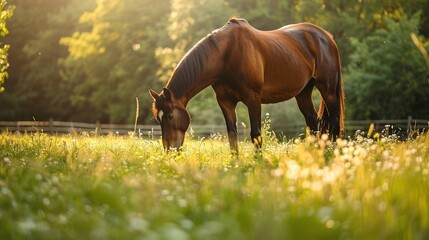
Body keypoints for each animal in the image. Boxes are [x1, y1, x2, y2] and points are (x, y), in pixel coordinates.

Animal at [149, 17, 342, 152]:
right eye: (157, 119)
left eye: (170, 116)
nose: (169, 150)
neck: (227, 55)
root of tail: (326, 36)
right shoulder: (225, 101)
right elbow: (232, 134)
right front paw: (235, 163)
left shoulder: (253, 99)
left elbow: (255, 134)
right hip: (303, 93)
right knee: (313, 122)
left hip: (328, 89)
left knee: (334, 122)